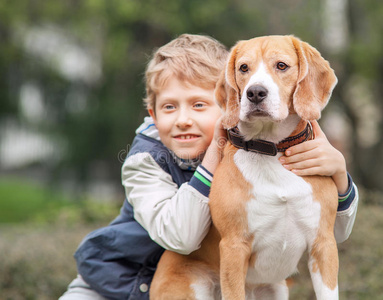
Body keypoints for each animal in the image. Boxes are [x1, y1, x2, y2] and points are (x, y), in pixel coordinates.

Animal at [152, 36, 340, 298]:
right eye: (243, 68)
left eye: (281, 65)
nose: (255, 92)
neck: (271, 149)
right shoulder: (234, 246)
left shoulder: (323, 244)